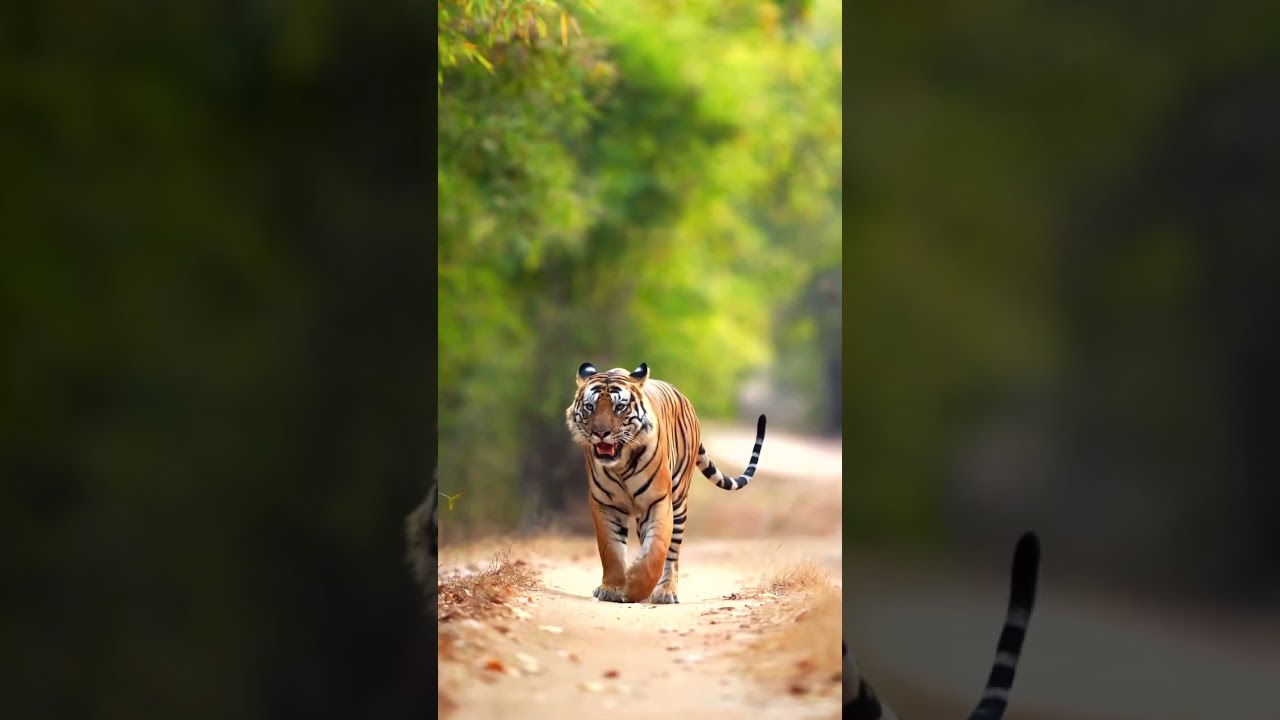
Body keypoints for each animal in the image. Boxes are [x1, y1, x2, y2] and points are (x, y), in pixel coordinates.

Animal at [565, 362, 767, 604]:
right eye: (589, 407)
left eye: (619, 407)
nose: (601, 433)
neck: (621, 464)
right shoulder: (604, 503)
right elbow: (611, 549)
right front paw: (611, 588)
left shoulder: (659, 500)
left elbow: (657, 550)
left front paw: (635, 586)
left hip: (679, 501)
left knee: (672, 554)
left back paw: (665, 592)